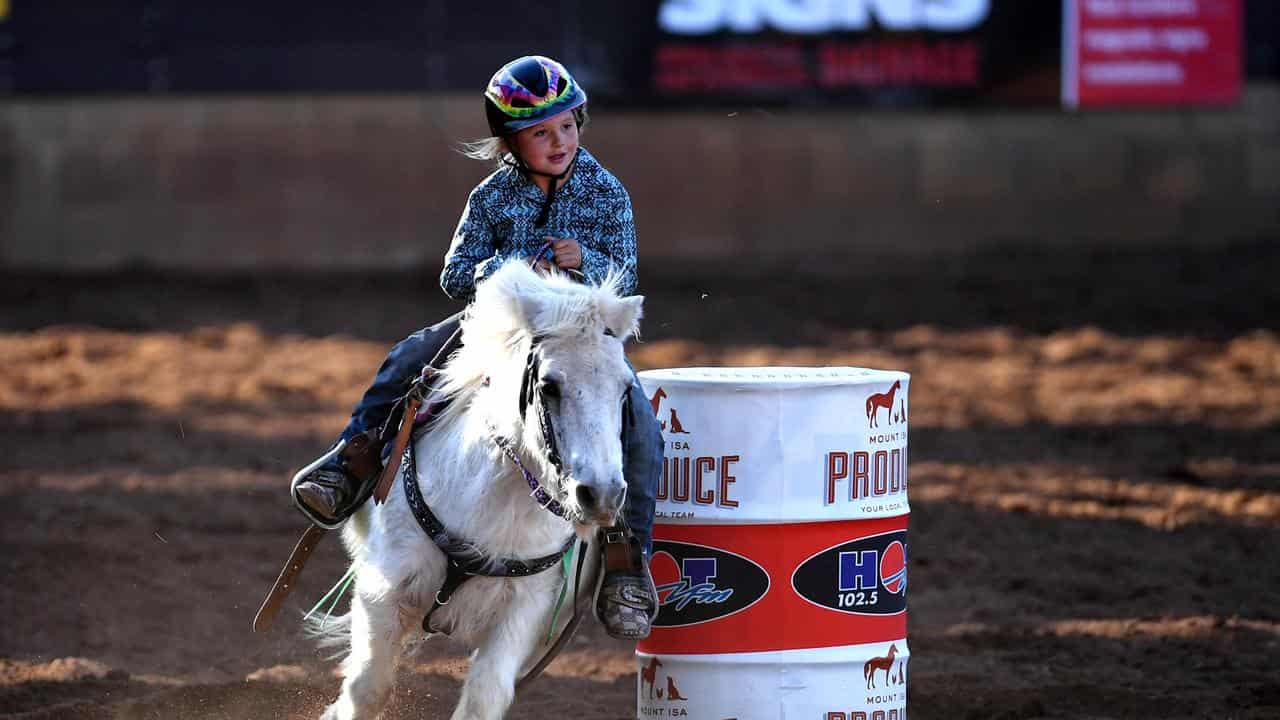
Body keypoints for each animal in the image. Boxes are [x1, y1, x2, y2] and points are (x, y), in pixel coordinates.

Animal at [316, 260, 645, 717]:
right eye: (549, 386)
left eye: (625, 388)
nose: (601, 496)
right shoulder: (384, 588)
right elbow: (367, 689)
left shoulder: (525, 608)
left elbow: (484, 696)